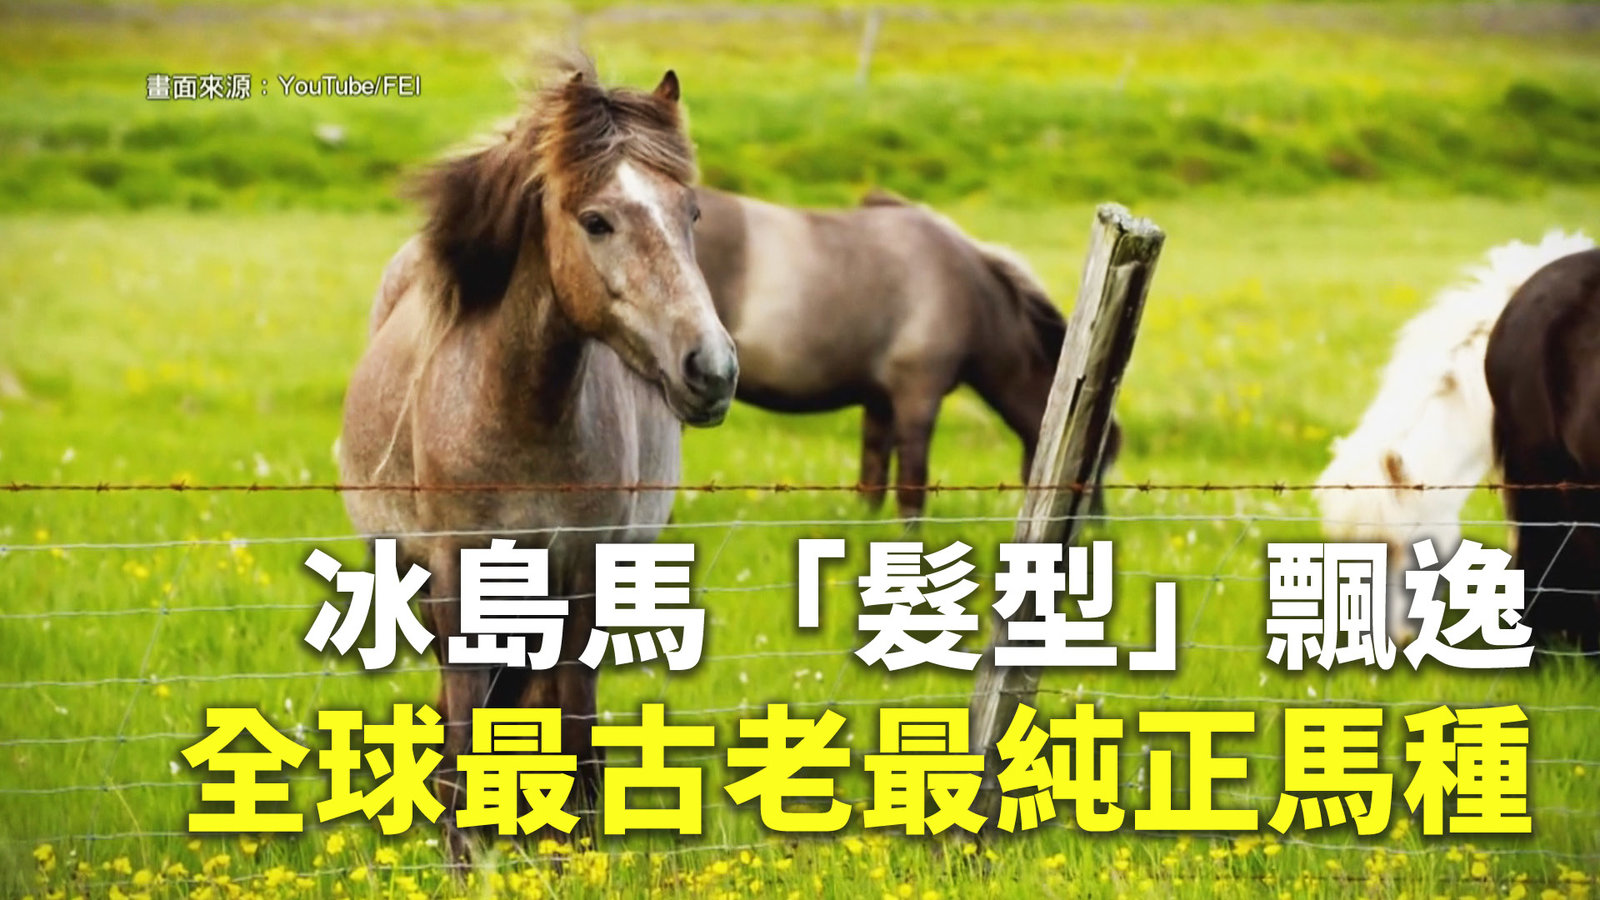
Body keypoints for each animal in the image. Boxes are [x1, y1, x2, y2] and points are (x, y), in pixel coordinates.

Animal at [338, 55, 737, 856]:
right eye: (596, 220)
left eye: (692, 215)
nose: (710, 369)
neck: (518, 410)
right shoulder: (456, 570)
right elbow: (464, 724)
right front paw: (465, 850)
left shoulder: (581, 568)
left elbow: (575, 730)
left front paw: (570, 849)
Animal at [692, 186, 1121, 520]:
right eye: (1095, 467)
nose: (1097, 530)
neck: (969, 292)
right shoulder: (917, 400)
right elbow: (912, 483)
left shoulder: (880, 404)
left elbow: (873, 481)